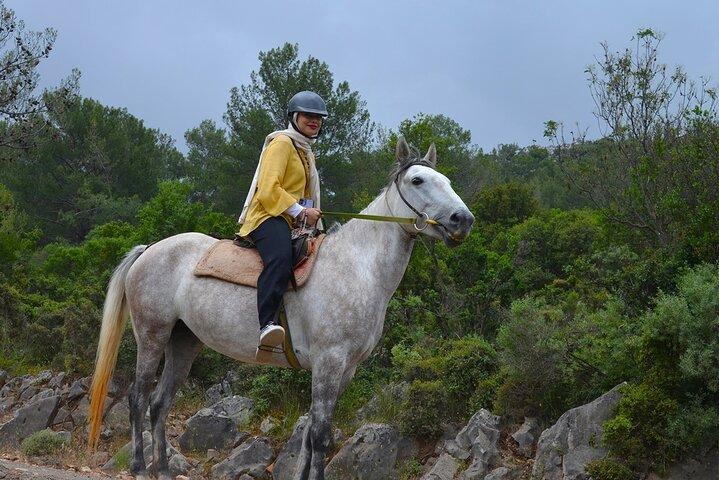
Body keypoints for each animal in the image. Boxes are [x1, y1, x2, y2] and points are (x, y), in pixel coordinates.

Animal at [87, 136, 474, 480]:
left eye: (447, 180)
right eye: (417, 180)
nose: (463, 220)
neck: (356, 266)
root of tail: (150, 249)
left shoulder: (345, 370)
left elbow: (308, 434)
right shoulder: (329, 361)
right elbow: (320, 435)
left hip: (183, 342)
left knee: (159, 403)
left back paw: (164, 470)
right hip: (152, 335)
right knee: (138, 398)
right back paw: (139, 467)